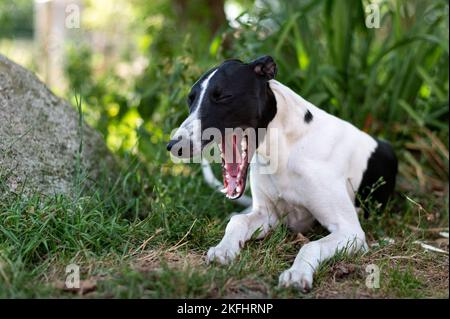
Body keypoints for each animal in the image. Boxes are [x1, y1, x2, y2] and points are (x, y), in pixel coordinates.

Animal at [168, 55, 398, 292]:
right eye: (190, 99)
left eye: (223, 96)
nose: (174, 146)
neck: (286, 147)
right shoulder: (268, 216)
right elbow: (238, 222)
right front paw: (224, 249)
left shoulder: (350, 231)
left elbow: (310, 246)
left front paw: (297, 274)